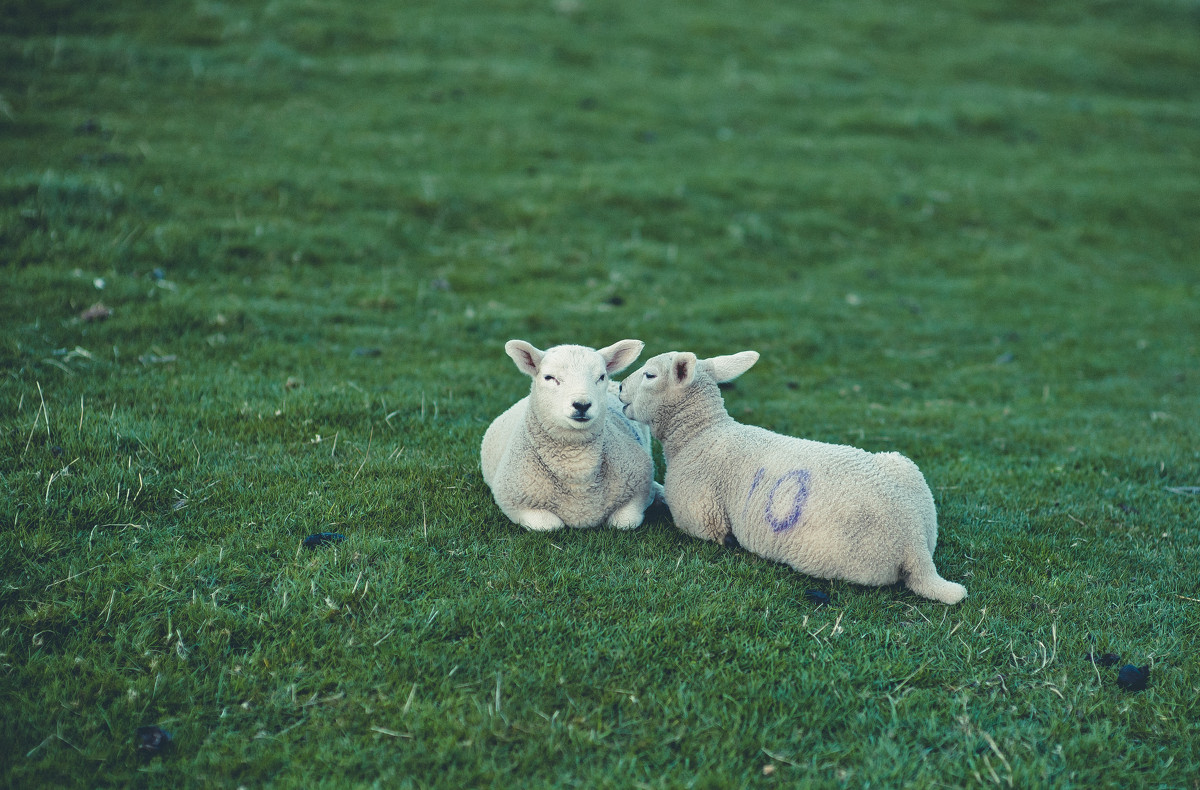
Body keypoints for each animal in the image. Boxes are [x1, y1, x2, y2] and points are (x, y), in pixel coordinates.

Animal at [477, 336, 662, 528]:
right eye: (549, 377)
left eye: (601, 377)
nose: (582, 404)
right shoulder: (514, 501)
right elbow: (551, 524)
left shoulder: (639, 487)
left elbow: (624, 522)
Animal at [619, 348, 964, 602]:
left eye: (650, 374)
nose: (620, 387)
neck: (700, 434)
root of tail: (915, 548)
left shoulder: (702, 518)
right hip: (906, 470)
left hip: (824, 554)